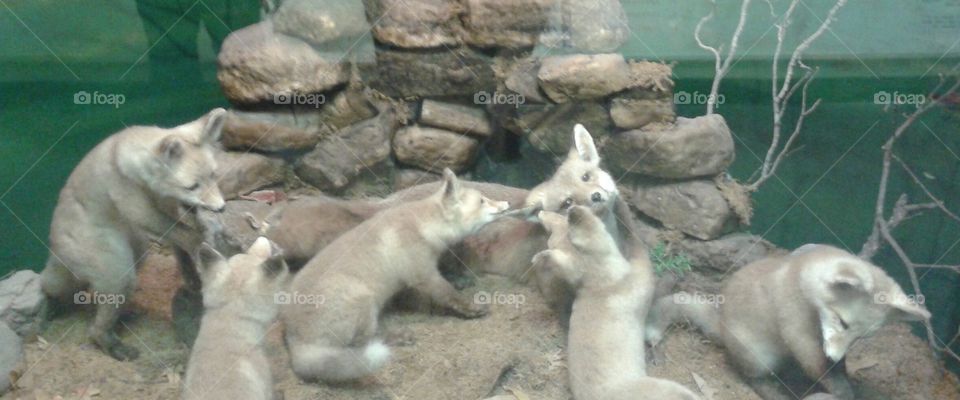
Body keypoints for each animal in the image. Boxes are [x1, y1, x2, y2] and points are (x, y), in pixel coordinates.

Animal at [40, 108, 228, 360]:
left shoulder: (167, 201)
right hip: (118, 272)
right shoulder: (134, 204)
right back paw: (111, 343)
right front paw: (200, 242)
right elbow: (181, 233)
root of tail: (53, 246)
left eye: (214, 175)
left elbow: (179, 239)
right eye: (192, 186)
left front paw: (192, 275)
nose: (221, 208)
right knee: (91, 322)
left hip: (138, 251)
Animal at [281, 169, 509, 382]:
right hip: (364, 301)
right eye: (482, 201)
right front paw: (471, 308)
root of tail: (295, 344)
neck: (424, 226)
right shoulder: (424, 274)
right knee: (364, 343)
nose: (506, 203)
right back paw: (399, 336)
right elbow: (448, 294)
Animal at [645, 244, 932, 400]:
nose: (835, 357)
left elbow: (837, 372)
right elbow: (819, 369)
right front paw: (843, 390)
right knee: (753, 378)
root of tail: (722, 325)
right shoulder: (797, 331)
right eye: (842, 322)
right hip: (756, 356)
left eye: (861, 337)